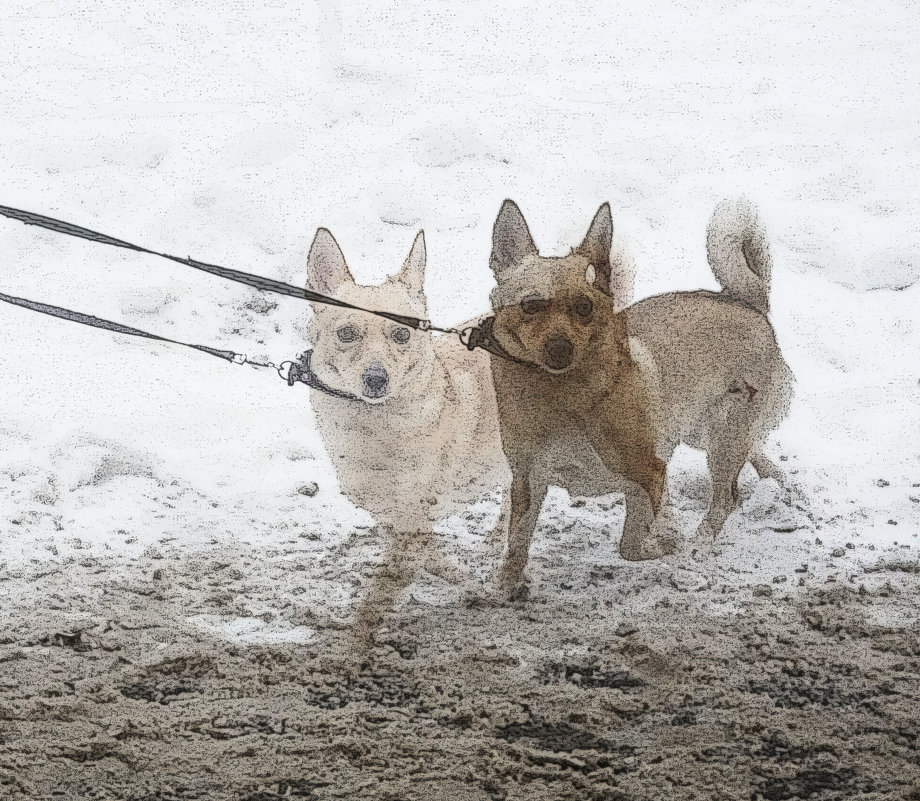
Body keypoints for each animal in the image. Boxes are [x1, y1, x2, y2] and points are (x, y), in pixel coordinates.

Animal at [304, 230, 506, 644]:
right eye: (346, 333)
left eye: (401, 334)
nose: (376, 379)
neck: (371, 428)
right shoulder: (393, 521)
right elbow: (435, 562)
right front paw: (474, 585)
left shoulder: (411, 525)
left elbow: (377, 596)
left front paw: (348, 645)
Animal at [488, 198, 792, 600]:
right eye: (531, 305)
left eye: (584, 307)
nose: (560, 348)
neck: (561, 396)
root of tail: (746, 301)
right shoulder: (528, 480)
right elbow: (518, 540)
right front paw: (506, 582)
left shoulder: (648, 474)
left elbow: (632, 545)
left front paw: (669, 545)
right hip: (700, 429)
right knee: (753, 448)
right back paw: (779, 480)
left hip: (723, 437)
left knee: (727, 495)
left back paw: (700, 543)